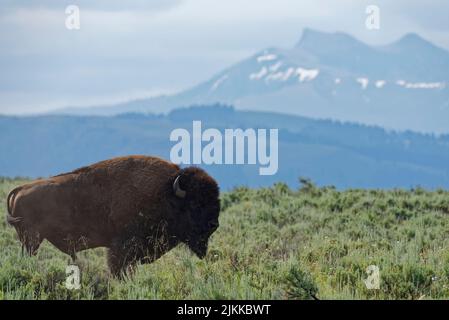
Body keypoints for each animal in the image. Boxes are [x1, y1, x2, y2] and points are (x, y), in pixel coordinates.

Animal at [5, 155, 219, 276]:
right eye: (195, 204)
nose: (214, 224)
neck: (164, 193)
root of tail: (21, 188)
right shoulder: (121, 248)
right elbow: (119, 269)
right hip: (31, 239)